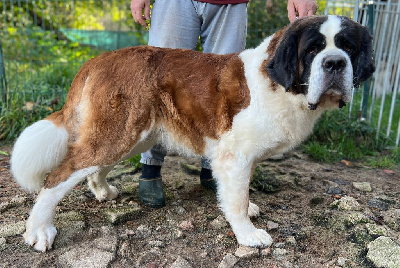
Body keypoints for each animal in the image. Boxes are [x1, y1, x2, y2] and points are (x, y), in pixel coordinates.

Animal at [10, 15, 376, 252]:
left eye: (348, 47)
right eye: (313, 50)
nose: (334, 63)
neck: (279, 82)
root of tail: (99, 58)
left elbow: (241, 191)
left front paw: (247, 209)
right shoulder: (235, 155)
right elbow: (237, 199)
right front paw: (247, 234)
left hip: (134, 134)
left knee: (93, 166)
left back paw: (102, 190)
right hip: (121, 132)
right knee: (59, 175)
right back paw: (39, 229)